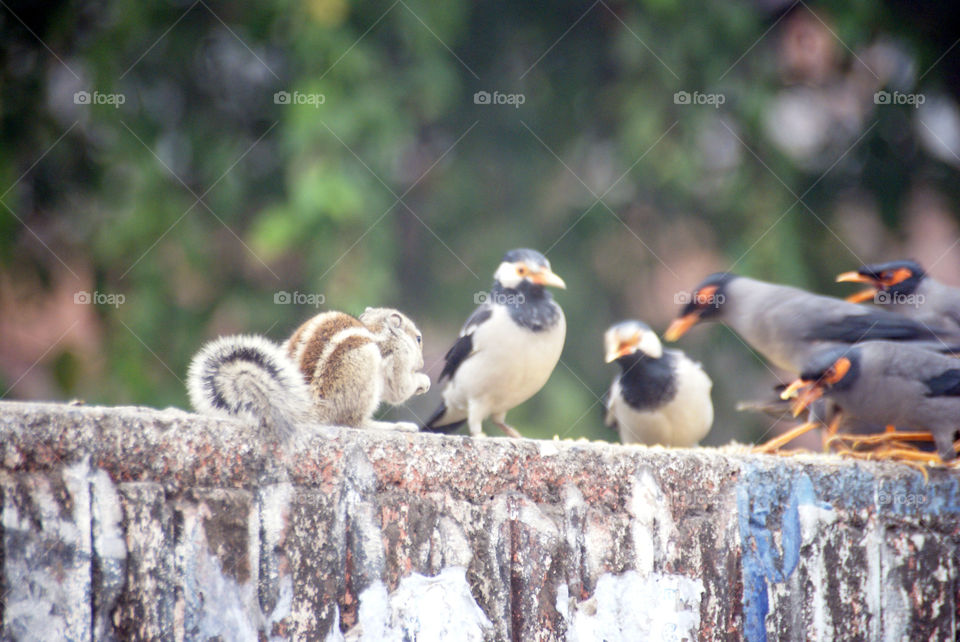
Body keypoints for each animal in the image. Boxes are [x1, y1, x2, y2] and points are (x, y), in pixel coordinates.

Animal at [187, 307, 431, 439]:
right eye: (418, 339)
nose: (422, 362)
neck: (377, 329)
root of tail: (310, 410)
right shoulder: (398, 356)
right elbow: (399, 389)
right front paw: (423, 381)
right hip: (365, 366)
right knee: (352, 422)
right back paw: (396, 427)